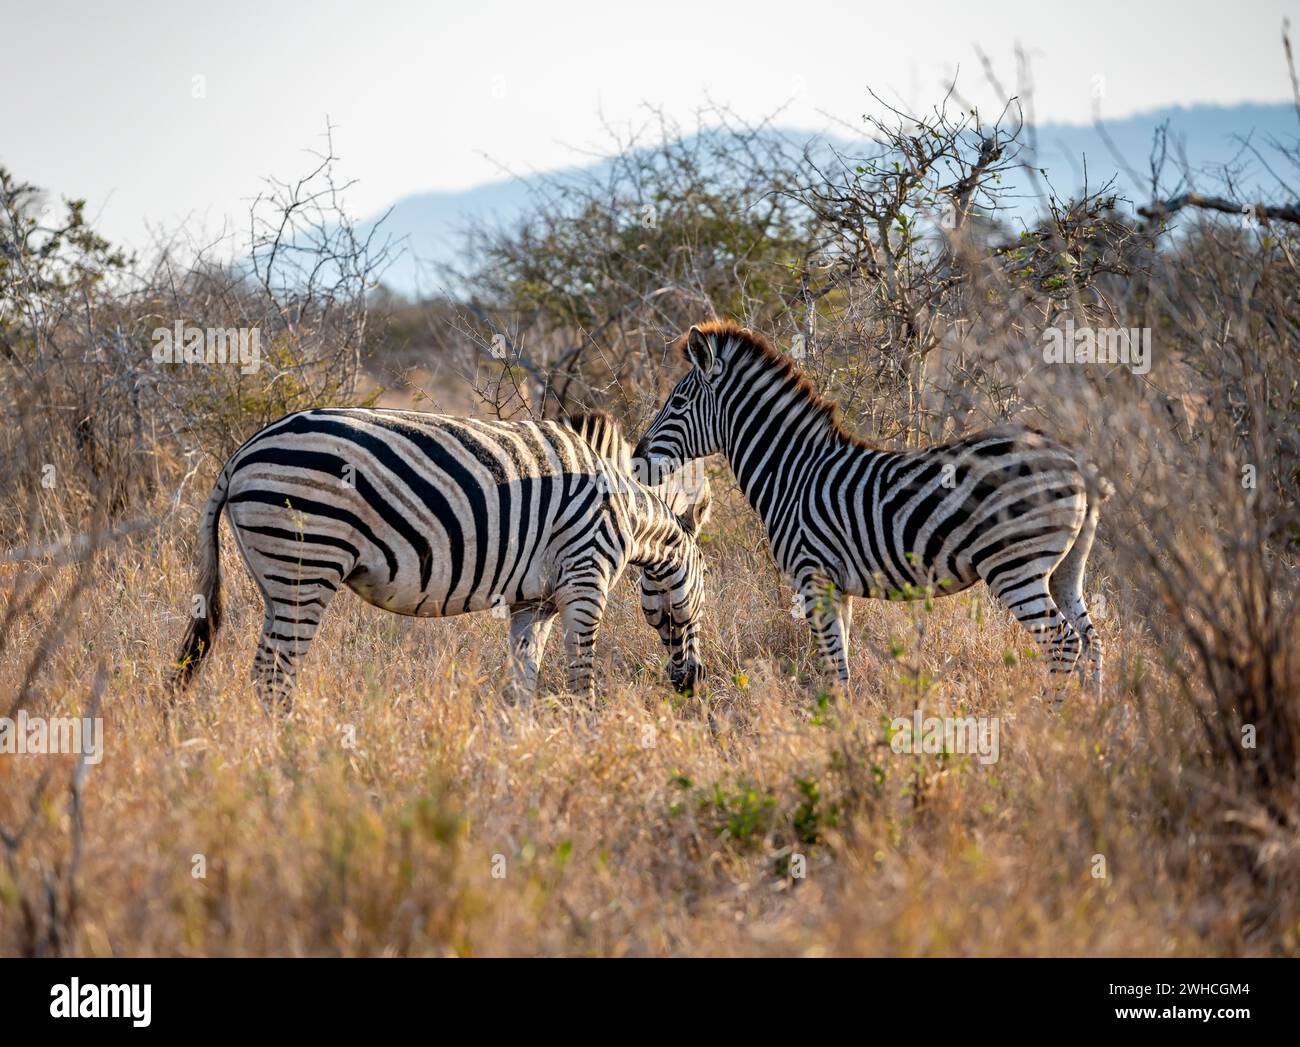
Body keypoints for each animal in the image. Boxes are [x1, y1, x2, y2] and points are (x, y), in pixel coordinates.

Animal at [170, 403, 712, 707]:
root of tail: (242, 453)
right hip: (306, 562)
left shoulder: (534, 601)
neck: (630, 512)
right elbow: (582, 676)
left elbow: (523, 682)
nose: (693, 683)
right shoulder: (585, 578)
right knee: (273, 675)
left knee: (267, 668)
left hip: (276, 578)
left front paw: (517, 749)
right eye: (705, 594)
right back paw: (289, 759)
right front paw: (588, 738)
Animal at [634, 318, 1112, 691]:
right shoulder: (836, 588)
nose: (637, 460)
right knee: (1091, 640)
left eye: (678, 403)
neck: (792, 473)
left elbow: (835, 670)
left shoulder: (813, 577)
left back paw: (1052, 719)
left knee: (1063, 642)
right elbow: (839, 666)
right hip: (1065, 568)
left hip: (1014, 565)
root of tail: (1073, 459)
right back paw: (1089, 723)